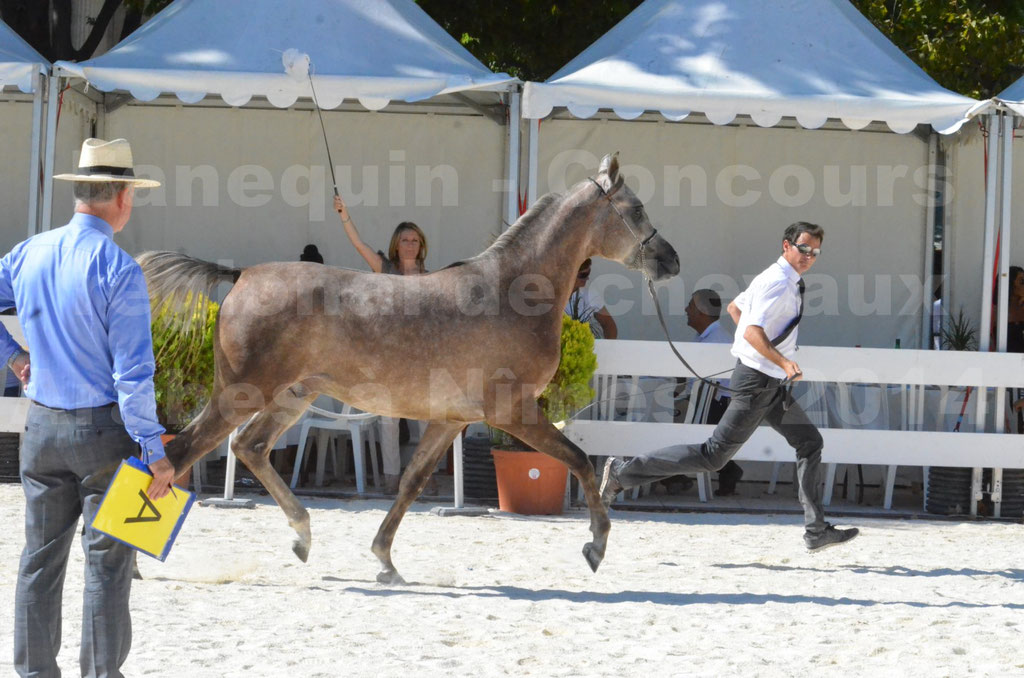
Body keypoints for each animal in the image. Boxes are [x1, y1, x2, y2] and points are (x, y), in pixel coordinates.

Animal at [138, 153, 679, 585]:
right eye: (636, 210)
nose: (670, 260)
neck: (510, 292)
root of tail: (243, 276)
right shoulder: (514, 412)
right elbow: (580, 460)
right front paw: (596, 546)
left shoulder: (450, 420)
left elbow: (411, 483)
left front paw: (385, 561)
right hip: (242, 394)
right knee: (180, 453)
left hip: (292, 396)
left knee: (247, 447)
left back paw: (303, 537)